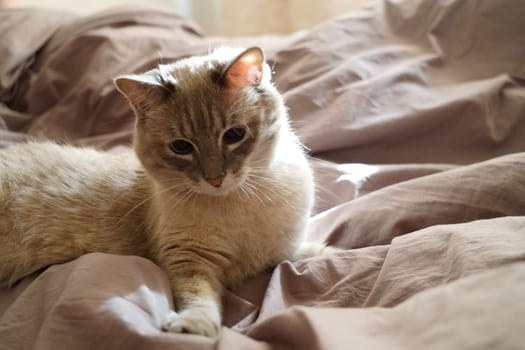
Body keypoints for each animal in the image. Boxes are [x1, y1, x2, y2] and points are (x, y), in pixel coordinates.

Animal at [0, 46, 334, 336]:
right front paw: (193, 327)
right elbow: (199, 299)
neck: (238, 203)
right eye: (181, 147)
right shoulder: (190, 260)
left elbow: (310, 255)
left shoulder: (284, 251)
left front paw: (333, 253)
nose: (215, 179)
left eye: (234, 135)